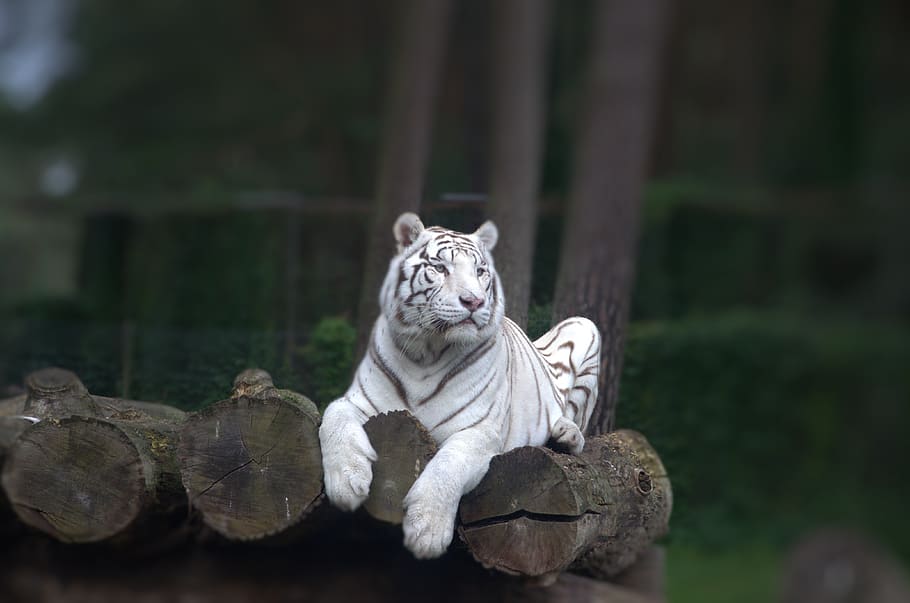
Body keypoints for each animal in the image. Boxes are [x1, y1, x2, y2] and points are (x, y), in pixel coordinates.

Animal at [318, 212, 601, 559]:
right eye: (440, 268)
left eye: (480, 271)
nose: (474, 301)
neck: (424, 354)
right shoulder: (357, 402)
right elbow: (333, 418)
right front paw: (346, 482)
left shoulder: (479, 430)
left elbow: (447, 467)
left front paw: (427, 532)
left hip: (584, 327)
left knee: (578, 422)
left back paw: (565, 434)